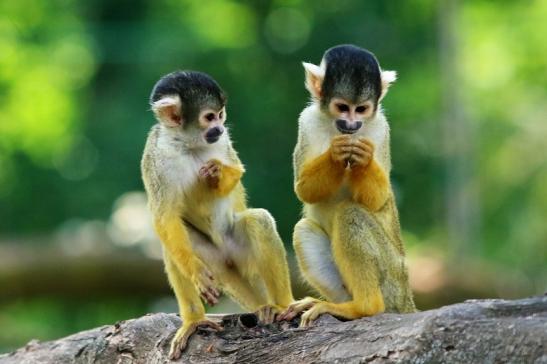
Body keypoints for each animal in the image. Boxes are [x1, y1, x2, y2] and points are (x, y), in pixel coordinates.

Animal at [141, 70, 296, 358]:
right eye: (209, 117)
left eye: (221, 115)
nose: (220, 128)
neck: (188, 144)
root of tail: (228, 260)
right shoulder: (155, 153)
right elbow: (164, 217)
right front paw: (196, 274)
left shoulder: (223, 144)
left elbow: (237, 171)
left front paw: (217, 174)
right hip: (214, 261)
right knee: (172, 247)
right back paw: (194, 320)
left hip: (242, 255)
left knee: (258, 221)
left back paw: (282, 306)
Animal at [278, 44, 416, 328]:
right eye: (342, 107)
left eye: (361, 109)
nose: (352, 125)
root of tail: (407, 299)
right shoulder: (306, 121)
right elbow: (303, 189)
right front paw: (336, 153)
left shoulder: (381, 128)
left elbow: (378, 199)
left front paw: (363, 157)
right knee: (304, 229)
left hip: (393, 277)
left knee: (350, 213)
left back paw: (364, 306)